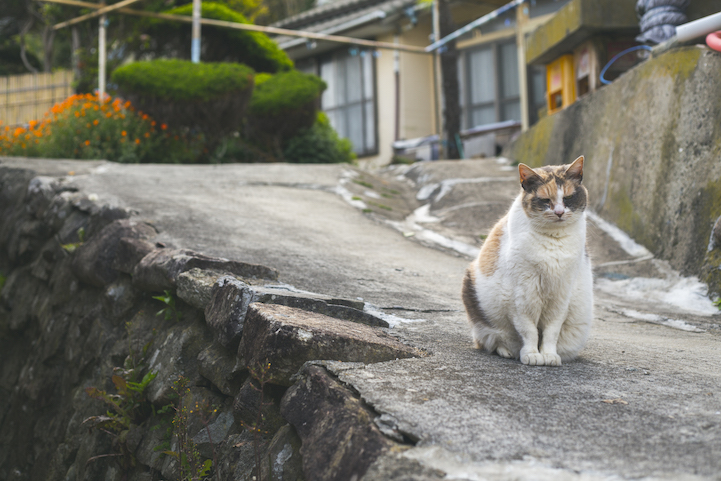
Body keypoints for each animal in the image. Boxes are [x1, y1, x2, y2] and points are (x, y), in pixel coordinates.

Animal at [462, 156, 592, 366]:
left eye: (567, 198)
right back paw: (508, 351)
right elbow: (529, 330)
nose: (559, 212)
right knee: (492, 340)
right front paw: (532, 354)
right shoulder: (523, 295)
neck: (553, 239)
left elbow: (551, 331)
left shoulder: (561, 294)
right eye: (545, 200)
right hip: (477, 302)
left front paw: (549, 355)